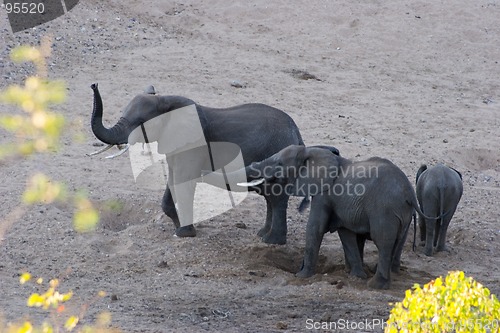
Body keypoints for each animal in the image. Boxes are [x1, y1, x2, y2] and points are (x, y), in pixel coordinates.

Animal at [88, 83, 302, 244]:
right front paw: (178, 227)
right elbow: (172, 180)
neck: (165, 101)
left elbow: (184, 182)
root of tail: (297, 132)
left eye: (141, 123)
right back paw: (262, 234)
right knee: (270, 198)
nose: (94, 85)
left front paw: (185, 233)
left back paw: (271, 241)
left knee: (276, 198)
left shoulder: (193, 144)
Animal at [236, 145, 424, 288]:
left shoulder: (324, 194)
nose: (298, 271)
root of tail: (409, 193)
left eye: (279, 163)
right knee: (397, 243)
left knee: (383, 242)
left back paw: (376, 285)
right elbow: (346, 233)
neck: (311, 152)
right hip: (402, 214)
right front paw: (355, 275)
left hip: (385, 210)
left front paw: (302, 276)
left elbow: (315, 228)